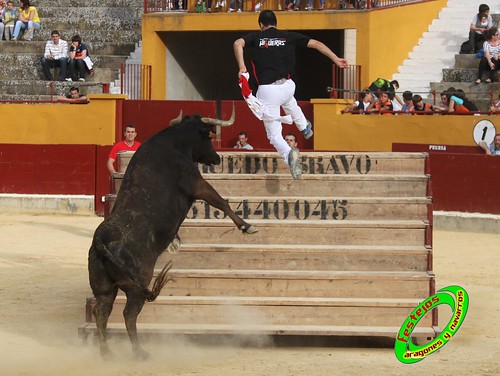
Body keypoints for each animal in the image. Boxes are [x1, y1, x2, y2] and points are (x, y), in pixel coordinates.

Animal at [88, 110, 258, 360]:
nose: (216, 158)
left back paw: (106, 353)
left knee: (102, 311)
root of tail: (102, 238)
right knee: (129, 313)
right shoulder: (197, 183)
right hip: (138, 284)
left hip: (103, 287)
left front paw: (175, 242)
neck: (176, 142)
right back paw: (139, 352)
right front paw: (246, 226)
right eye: (208, 136)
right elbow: (221, 202)